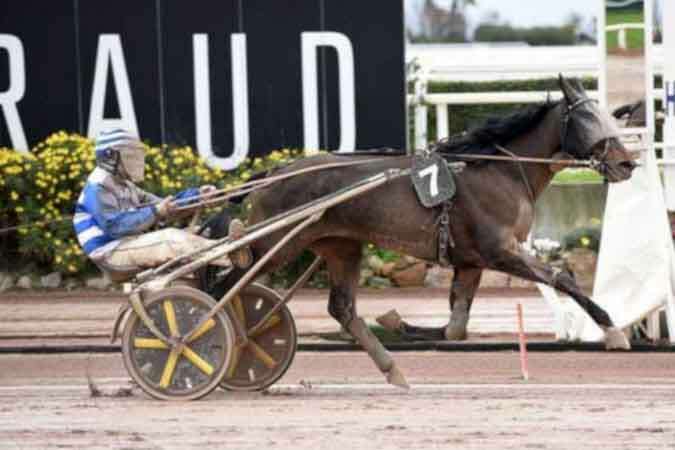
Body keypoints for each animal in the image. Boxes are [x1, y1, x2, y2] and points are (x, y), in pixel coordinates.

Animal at [214, 74, 636, 386]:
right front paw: (613, 331)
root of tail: (275, 170)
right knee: (224, 286)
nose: (626, 163)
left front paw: (398, 323)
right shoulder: (500, 251)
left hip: (340, 245)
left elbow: (454, 330)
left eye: (611, 117)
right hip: (274, 242)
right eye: (588, 120)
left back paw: (391, 369)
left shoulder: (471, 262)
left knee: (342, 308)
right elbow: (564, 278)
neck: (497, 170)